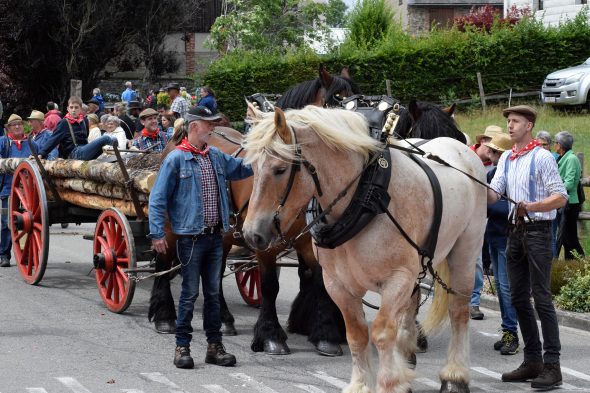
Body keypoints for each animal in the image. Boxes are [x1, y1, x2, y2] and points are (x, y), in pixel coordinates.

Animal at [243, 105, 488, 392]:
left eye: (280, 169)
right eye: (252, 167)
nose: (252, 234)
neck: (365, 197)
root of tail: (463, 151)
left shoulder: (397, 279)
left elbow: (381, 332)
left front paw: (390, 382)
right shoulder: (339, 284)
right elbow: (357, 335)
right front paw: (364, 383)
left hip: (465, 249)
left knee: (458, 309)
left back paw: (454, 375)